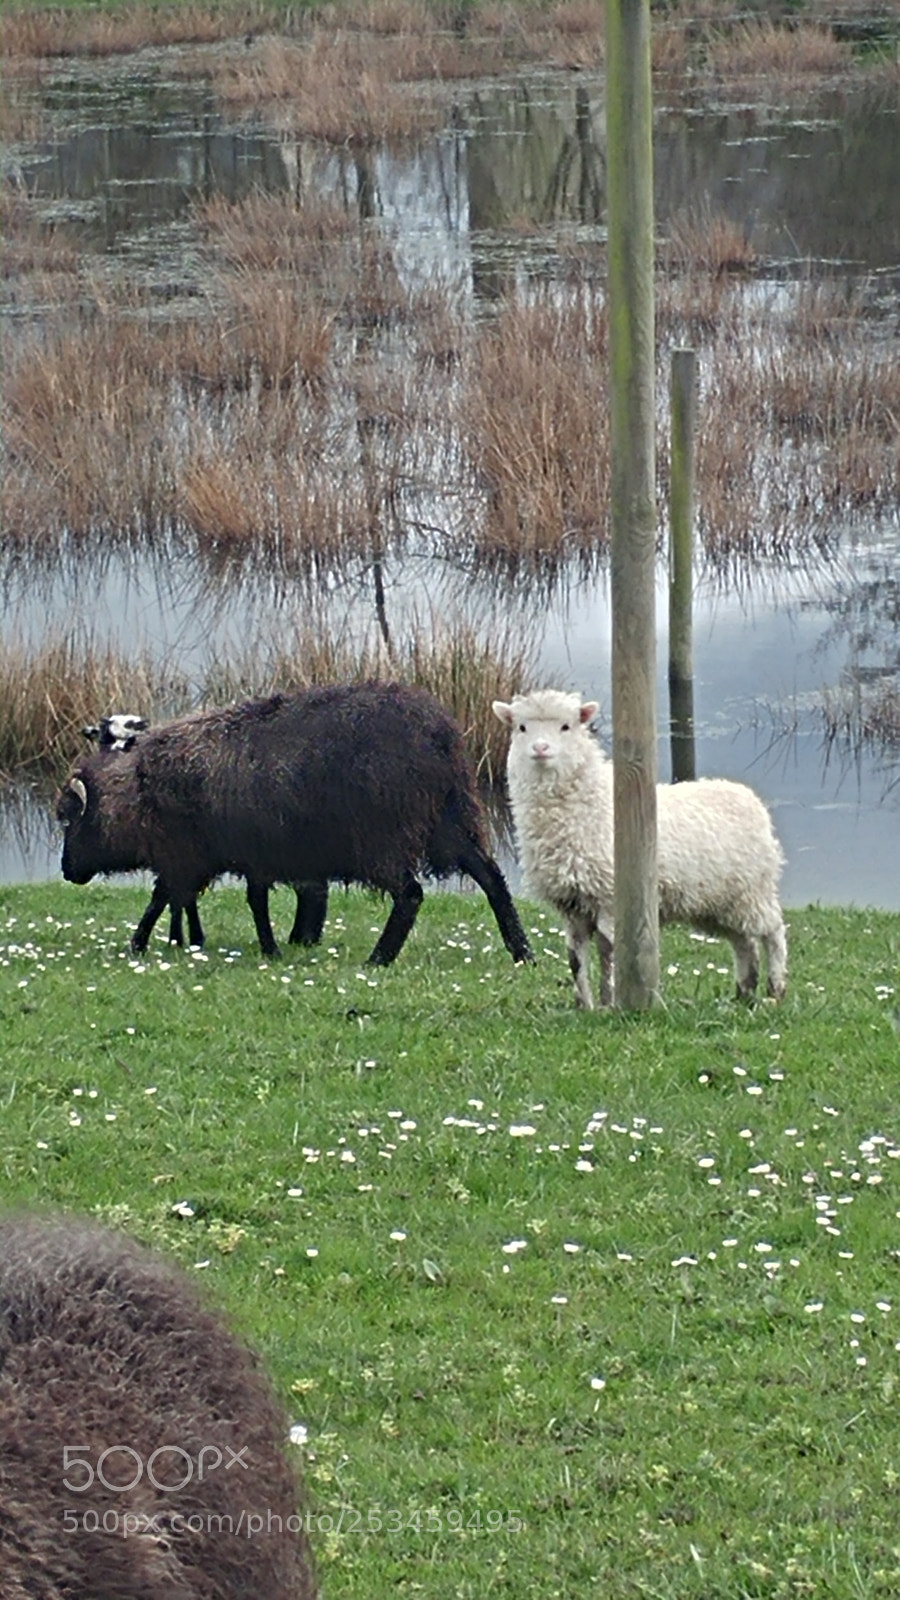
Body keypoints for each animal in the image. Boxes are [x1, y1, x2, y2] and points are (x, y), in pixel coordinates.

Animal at [58, 682, 533, 967]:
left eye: (68, 821)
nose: (66, 872)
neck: (136, 793)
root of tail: (441, 735)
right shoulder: (248, 854)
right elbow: (246, 900)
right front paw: (270, 946)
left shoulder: (188, 853)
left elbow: (166, 898)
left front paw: (140, 942)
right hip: (452, 821)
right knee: (492, 878)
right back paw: (521, 950)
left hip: (384, 836)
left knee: (411, 896)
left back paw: (379, 958)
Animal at [493, 688, 787, 1009]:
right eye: (521, 727)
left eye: (566, 726)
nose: (540, 748)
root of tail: (747, 796)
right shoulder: (572, 906)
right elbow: (575, 958)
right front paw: (584, 1006)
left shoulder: (609, 897)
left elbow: (608, 952)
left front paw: (608, 1003)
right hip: (720, 901)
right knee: (744, 942)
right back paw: (744, 992)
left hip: (753, 891)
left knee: (773, 931)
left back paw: (776, 988)